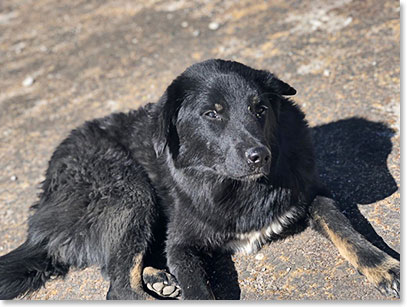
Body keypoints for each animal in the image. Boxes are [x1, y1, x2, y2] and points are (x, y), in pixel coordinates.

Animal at [0, 59, 400, 300]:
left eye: (260, 108)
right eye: (212, 114)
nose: (261, 156)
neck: (232, 186)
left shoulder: (313, 193)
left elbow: (344, 227)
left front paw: (382, 266)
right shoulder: (181, 244)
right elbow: (196, 286)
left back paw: (157, 277)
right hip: (130, 192)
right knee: (119, 286)